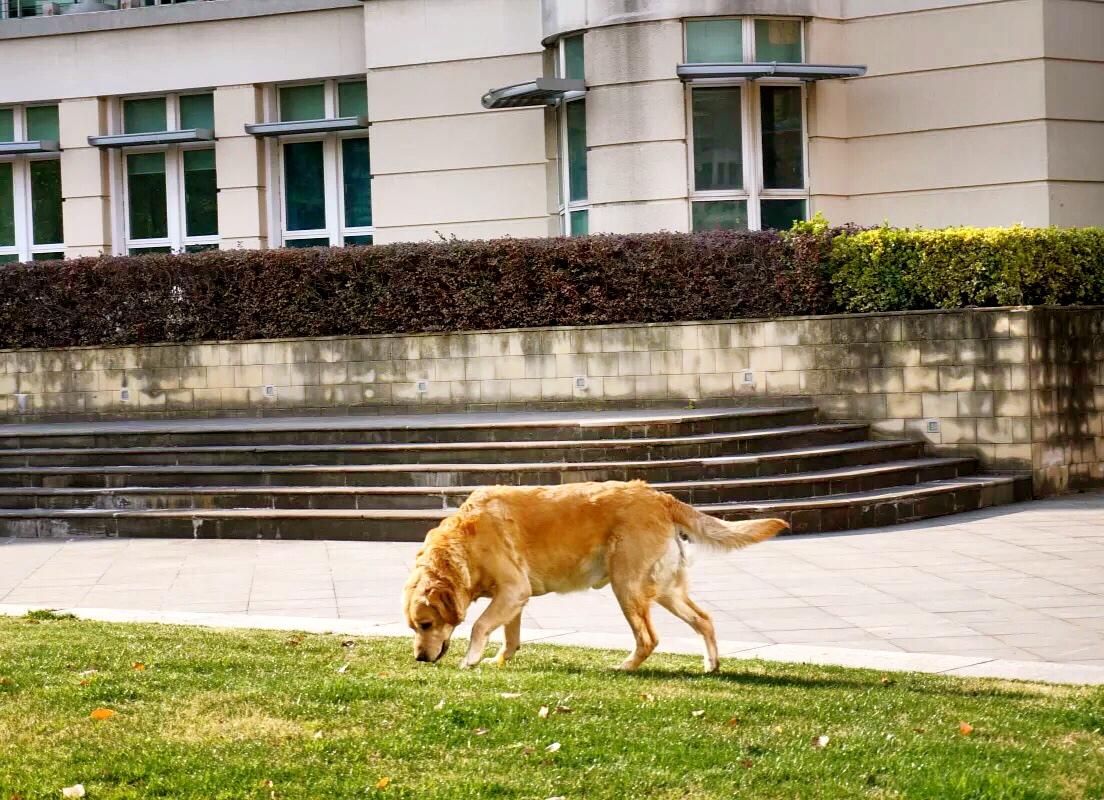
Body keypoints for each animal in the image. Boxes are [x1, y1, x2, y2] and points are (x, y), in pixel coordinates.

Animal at [404, 481, 786, 675]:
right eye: (413, 627)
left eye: (425, 624)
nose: (419, 659)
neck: (465, 542)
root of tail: (659, 496)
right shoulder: (514, 598)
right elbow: (509, 636)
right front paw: (499, 660)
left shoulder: (513, 589)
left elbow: (480, 625)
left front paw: (470, 659)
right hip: (665, 589)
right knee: (704, 619)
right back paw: (711, 664)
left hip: (627, 586)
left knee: (649, 638)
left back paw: (625, 666)